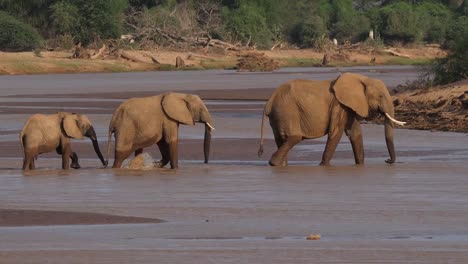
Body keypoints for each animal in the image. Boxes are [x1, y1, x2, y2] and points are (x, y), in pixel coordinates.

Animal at [258, 72, 408, 165]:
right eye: (381, 96)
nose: (387, 160)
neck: (362, 78)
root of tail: (269, 101)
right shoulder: (339, 104)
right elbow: (335, 132)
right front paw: (323, 165)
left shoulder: (349, 107)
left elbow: (355, 133)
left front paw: (360, 165)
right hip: (287, 111)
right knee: (294, 137)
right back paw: (274, 163)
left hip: (279, 114)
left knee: (281, 139)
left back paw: (281, 165)